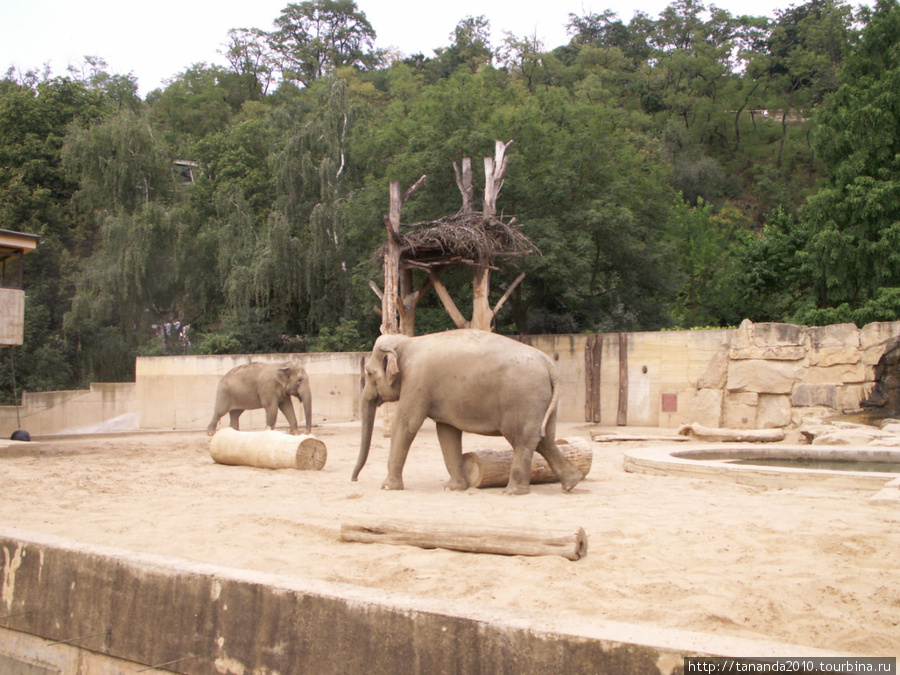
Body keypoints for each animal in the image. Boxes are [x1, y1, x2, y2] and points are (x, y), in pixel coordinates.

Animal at [352, 328, 584, 496]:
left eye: (369, 373)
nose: (354, 479)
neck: (407, 341)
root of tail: (549, 363)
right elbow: (447, 432)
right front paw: (453, 488)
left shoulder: (417, 381)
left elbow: (407, 424)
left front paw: (387, 487)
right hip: (543, 400)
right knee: (545, 439)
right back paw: (572, 483)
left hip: (525, 397)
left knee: (523, 440)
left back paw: (512, 492)